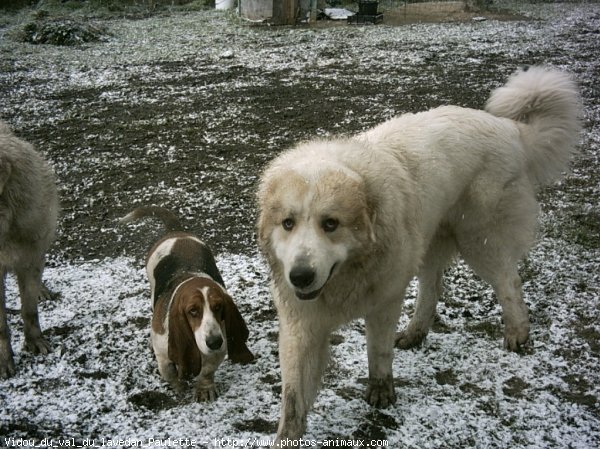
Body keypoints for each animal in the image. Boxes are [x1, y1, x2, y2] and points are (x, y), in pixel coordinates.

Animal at [256, 66, 580, 440]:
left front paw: (381, 391)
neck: (349, 275)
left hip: (479, 240)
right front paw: (286, 436)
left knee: (508, 282)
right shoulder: (301, 324)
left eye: (330, 223)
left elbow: (378, 351)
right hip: (431, 240)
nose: (300, 276)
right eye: (288, 223)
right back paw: (416, 332)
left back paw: (517, 332)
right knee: (432, 287)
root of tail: (509, 128)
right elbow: (293, 397)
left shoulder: (384, 301)